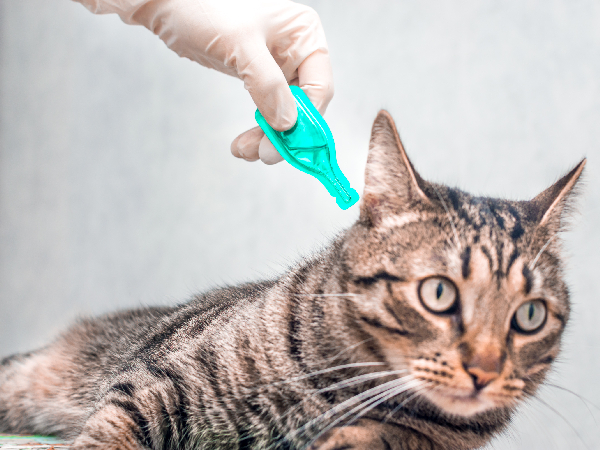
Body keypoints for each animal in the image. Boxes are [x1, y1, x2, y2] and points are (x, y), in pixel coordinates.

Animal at [0, 110, 584, 450]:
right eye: (439, 293)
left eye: (529, 316)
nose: (485, 371)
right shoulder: (155, 381)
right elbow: (111, 433)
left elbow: (394, 438)